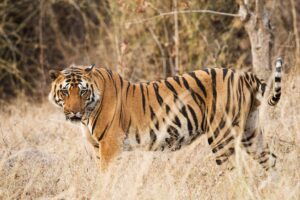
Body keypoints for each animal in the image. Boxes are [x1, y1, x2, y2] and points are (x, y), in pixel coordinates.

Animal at [48, 57, 282, 172]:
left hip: (220, 136)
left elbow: (105, 177)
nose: (74, 112)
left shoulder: (110, 145)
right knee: (272, 160)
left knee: (233, 173)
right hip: (250, 132)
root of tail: (243, 76)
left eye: (83, 91)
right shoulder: (98, 148)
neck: (87, 116)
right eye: (65, 92)